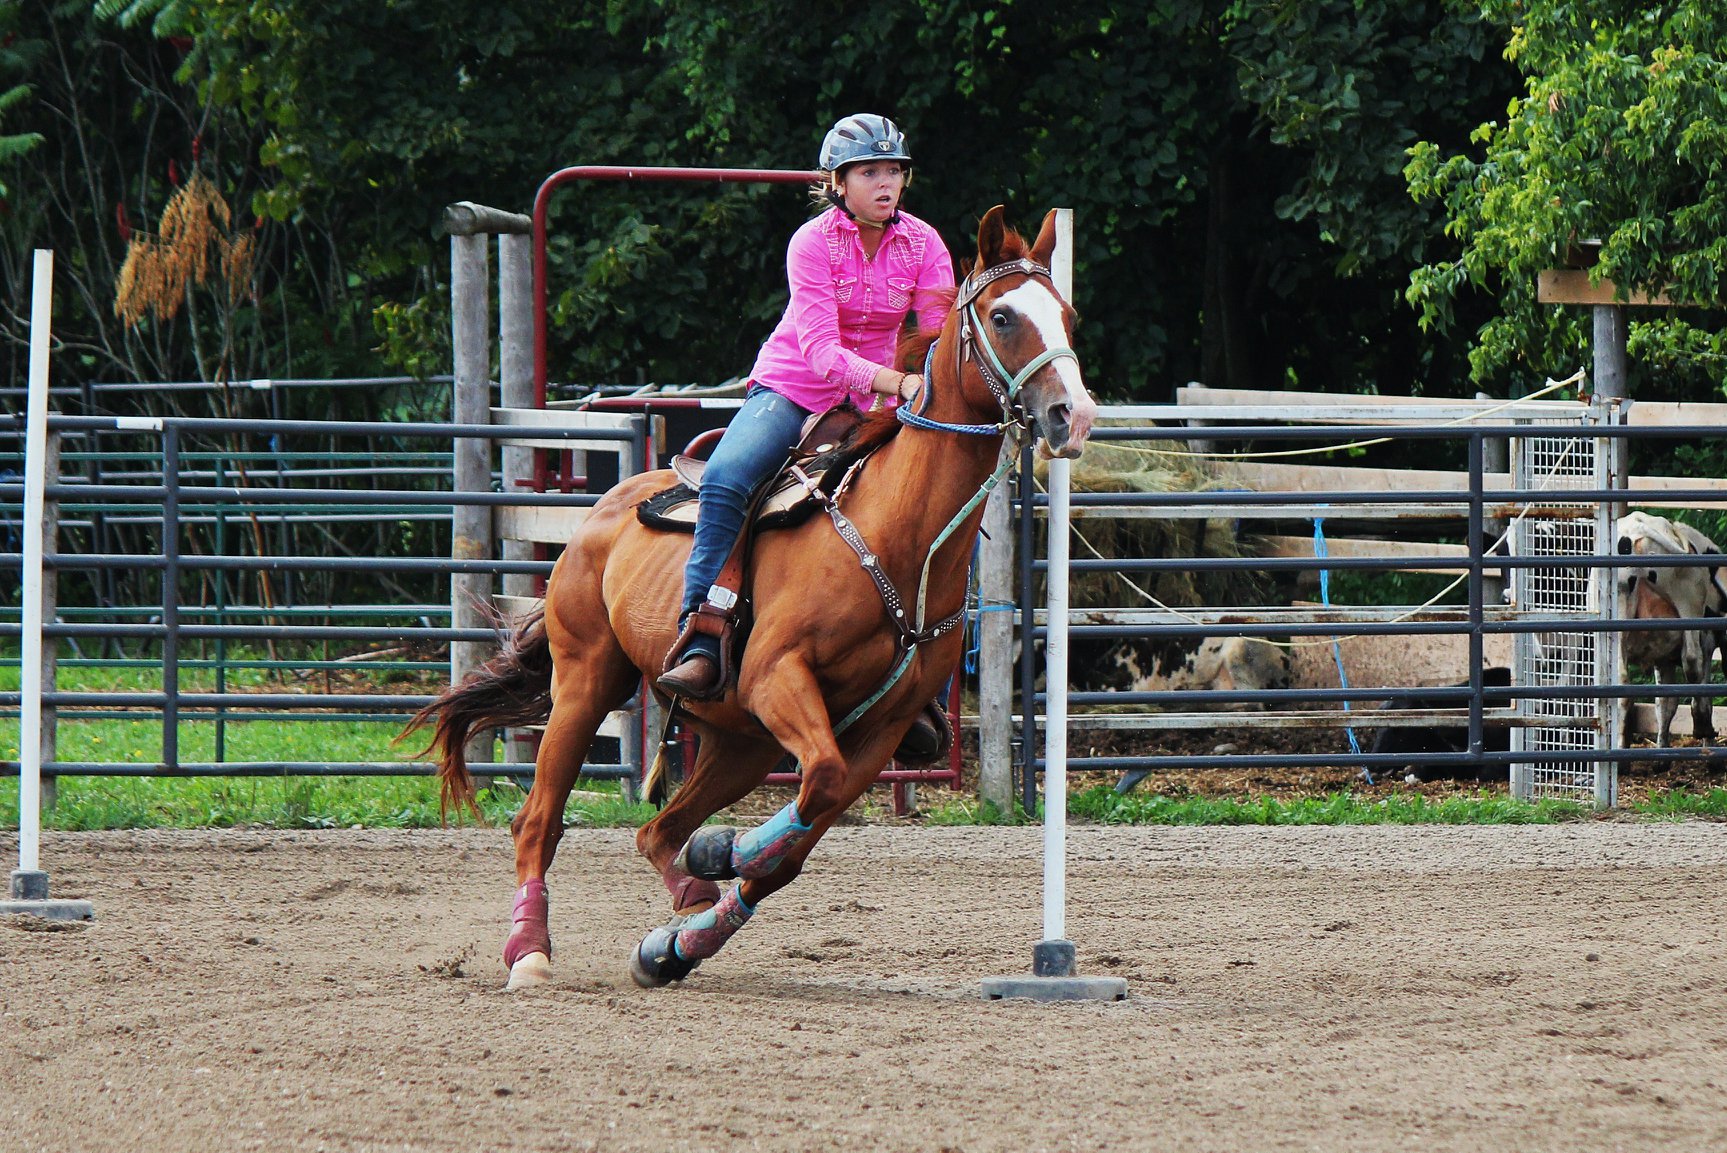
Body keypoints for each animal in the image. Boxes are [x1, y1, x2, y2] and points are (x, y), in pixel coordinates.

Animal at [407, 202, 1091, 987]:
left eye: (1067, 315)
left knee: (657, 829)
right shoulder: (777, 674)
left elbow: (797, 839)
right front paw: (721, 855)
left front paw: (681, 928)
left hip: (740, 738)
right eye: (1003, 315)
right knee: (540, 820)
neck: (895, 528)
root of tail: (598, 515)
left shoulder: (883, 726)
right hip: (587, 682)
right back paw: (530, 951)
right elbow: (815, 785)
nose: (1072, 415)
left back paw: (682, 910)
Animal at [1609, 514, 1720, 749]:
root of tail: (1638, 529)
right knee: (1692, 661)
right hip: (1688, 606)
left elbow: (1665, 703)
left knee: (1623, 682)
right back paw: (1702, 726)